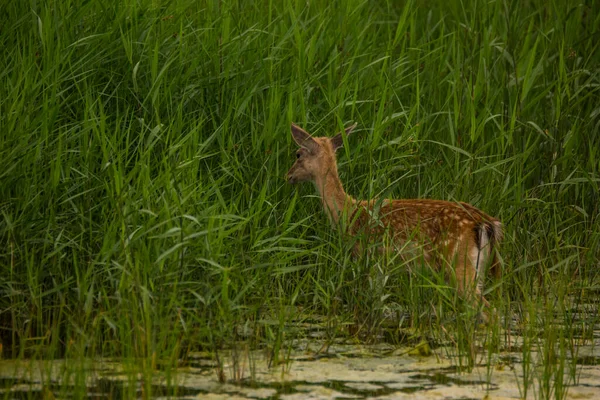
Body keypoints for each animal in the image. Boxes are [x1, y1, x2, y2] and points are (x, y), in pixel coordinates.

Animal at [286, 123, 502, 310]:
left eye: (298, 154)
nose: (288, 176)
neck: (348, 212)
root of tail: (484, 222)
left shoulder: (366, 256)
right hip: (477, 266)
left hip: (457, 261)